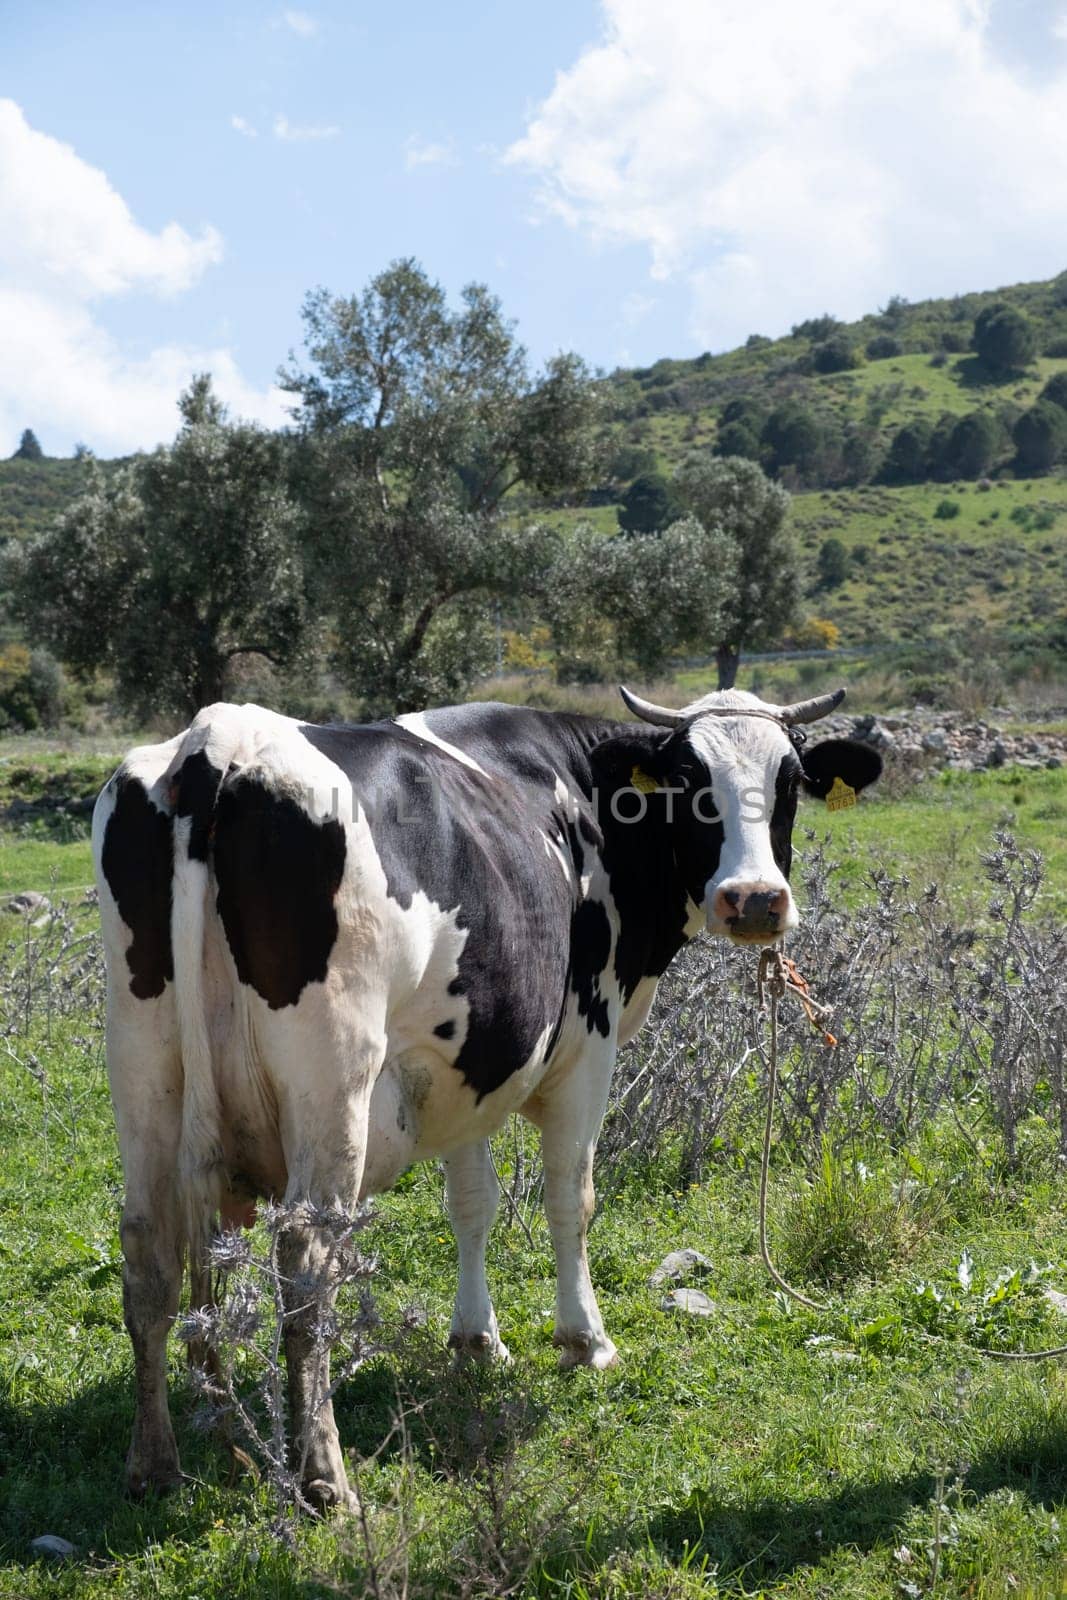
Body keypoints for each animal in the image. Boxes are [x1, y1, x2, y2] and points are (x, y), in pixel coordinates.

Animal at [93, 681, 876, 1504]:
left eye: (790, 782)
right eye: (690, 782)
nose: (754, 900)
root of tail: (220, 740)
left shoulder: (467, 1064)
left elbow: (471, 1203)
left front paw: (476, 1340)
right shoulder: (587, 1049)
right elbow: (570, 1199)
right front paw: (584, 1340)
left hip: (144, 1062)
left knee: (150, 1249)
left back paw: (162, 1458)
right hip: (332, 1078)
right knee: (307, 1262)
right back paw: (324, 1478)